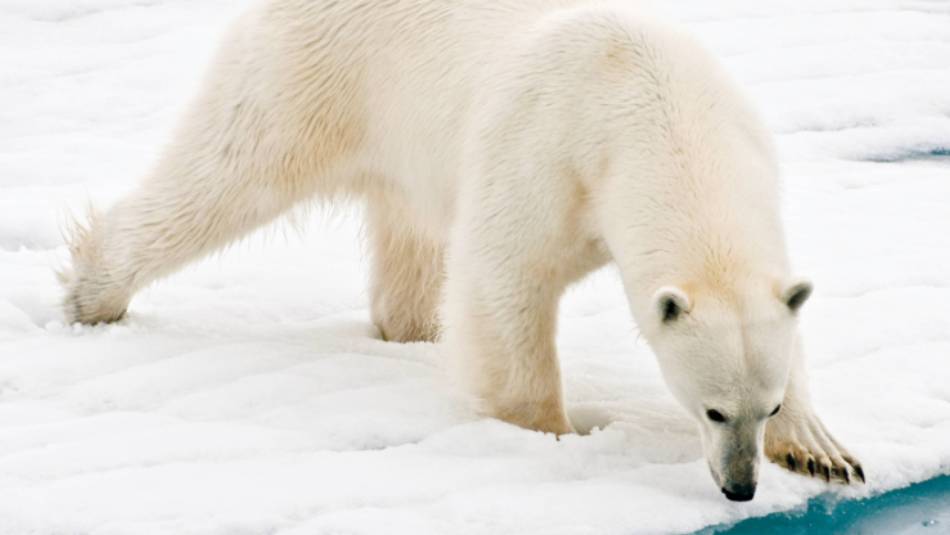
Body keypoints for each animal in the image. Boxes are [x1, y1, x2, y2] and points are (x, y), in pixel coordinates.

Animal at [60, 0, 863, 500]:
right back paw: (93, 292)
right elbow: (506, 277)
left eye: (767, 405)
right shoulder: (549, 147)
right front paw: (551, 433)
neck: (655, 107)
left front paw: (825, 451)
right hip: (312, 75)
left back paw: (412, 327)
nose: (740, 487)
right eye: (712, 411)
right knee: (224, 175)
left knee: (407, 241)